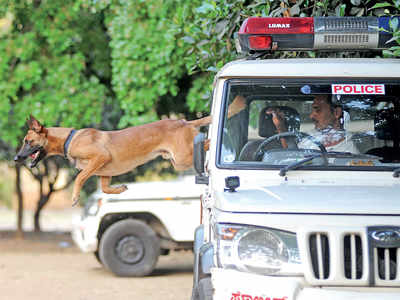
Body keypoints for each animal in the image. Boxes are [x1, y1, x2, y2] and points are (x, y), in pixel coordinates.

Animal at [14, 95, 245, 205]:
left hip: (182, 158)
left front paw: (74, 197)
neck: (69, 139)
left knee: (206, 142)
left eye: (27, 141)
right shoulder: (104, 172)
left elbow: (79, 178)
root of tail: (183, 122)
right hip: (178, 160)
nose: (16, 158)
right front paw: (120, 189)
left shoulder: (100, 157)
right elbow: (105, 189)